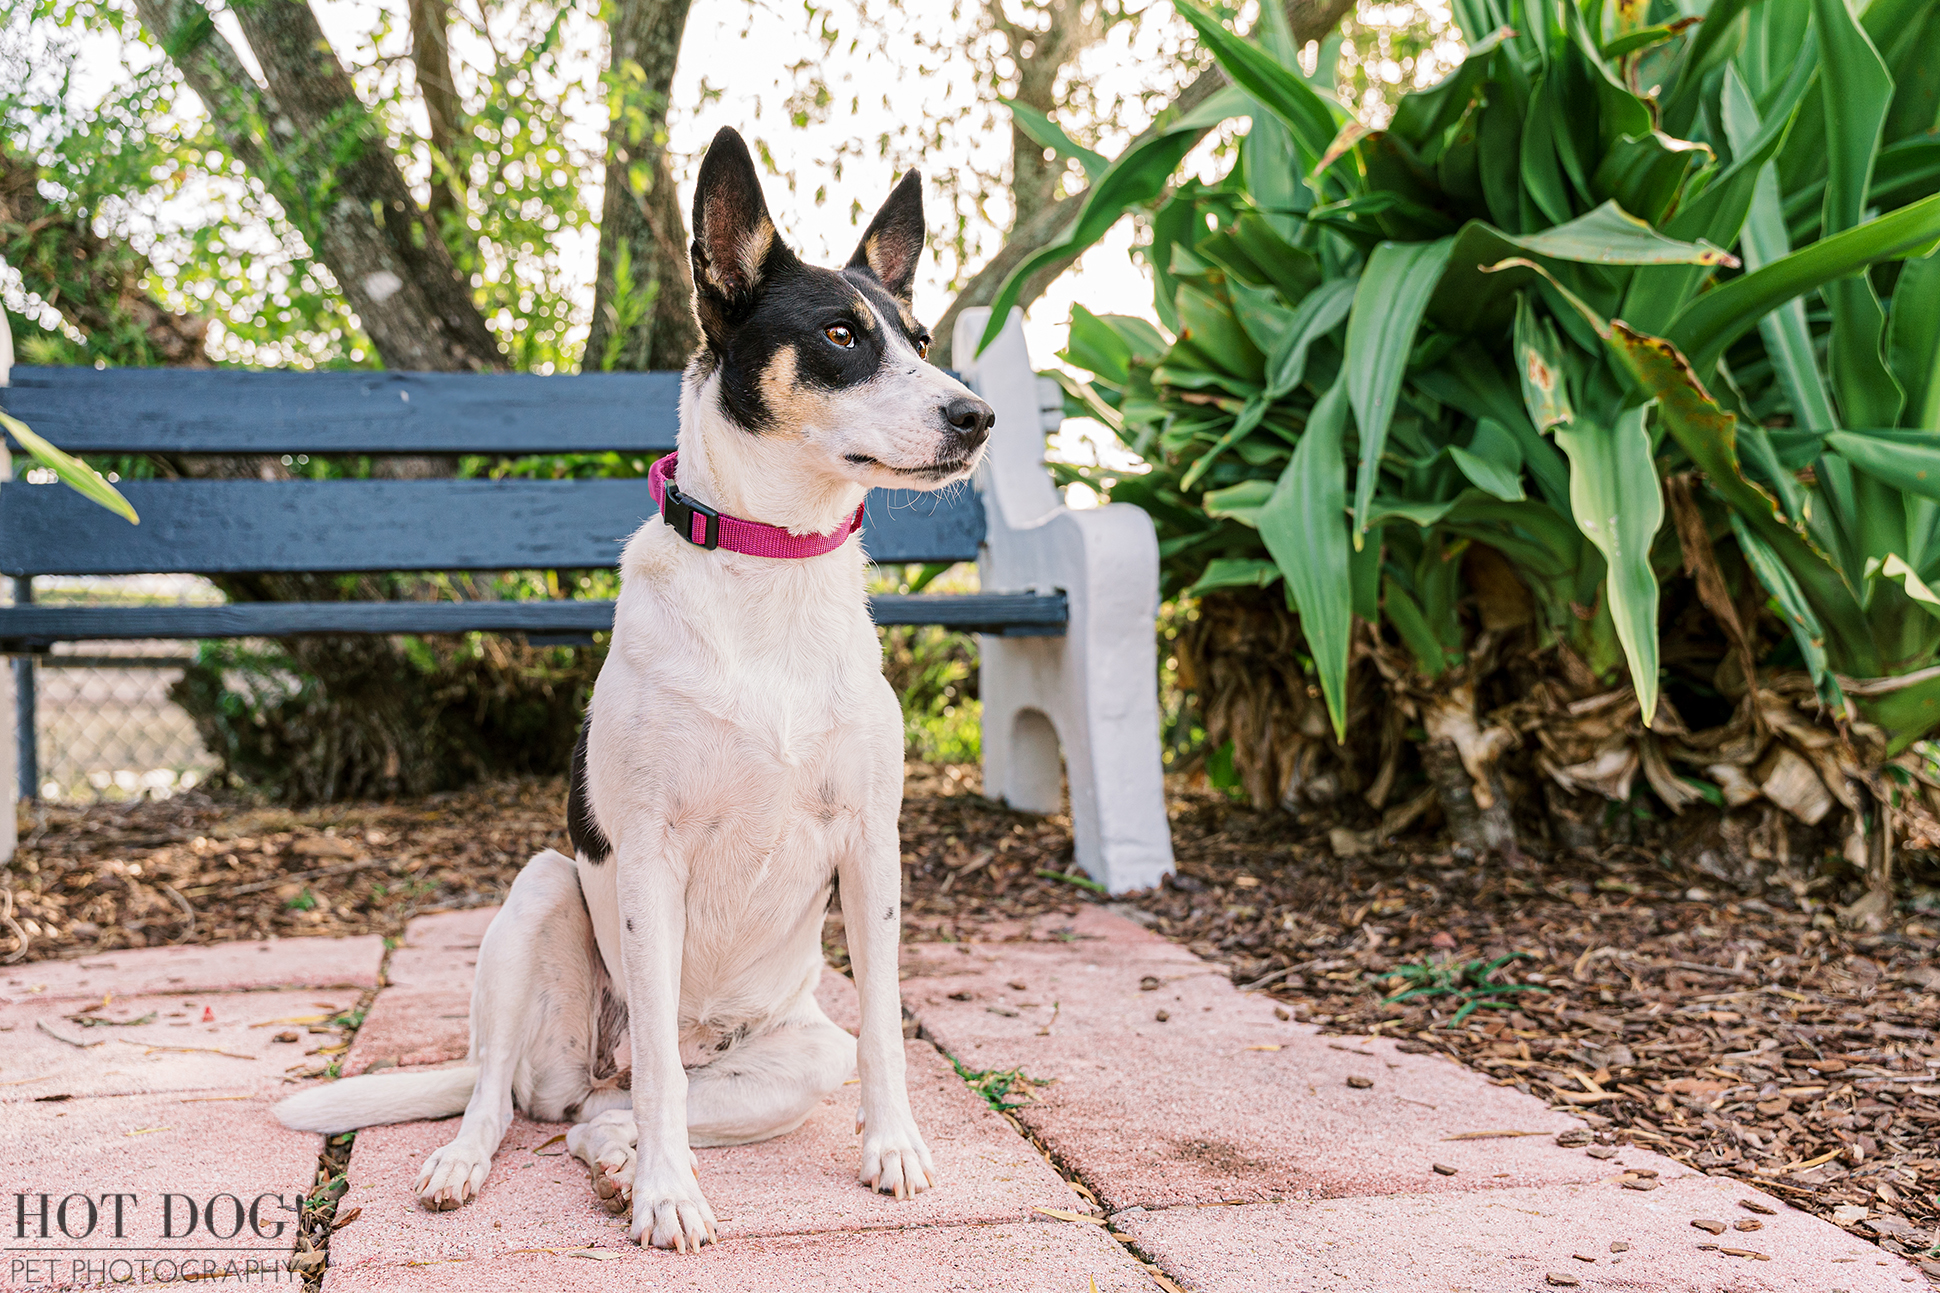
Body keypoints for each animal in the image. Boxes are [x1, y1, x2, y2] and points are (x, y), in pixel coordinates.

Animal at [271, 126, 993, 1242]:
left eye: (916, 336)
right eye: (839, 334)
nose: (977, 416)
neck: (771, 567)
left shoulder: (873, 847)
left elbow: (882, 1029)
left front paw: (892, 1149)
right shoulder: (650, 857)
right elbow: (655, 1063)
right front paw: (667, 1196)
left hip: (799, 1048)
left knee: (612, 1110)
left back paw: (611, 1154)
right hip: (536, 899)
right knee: (526, 1090)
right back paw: (477, 1161)